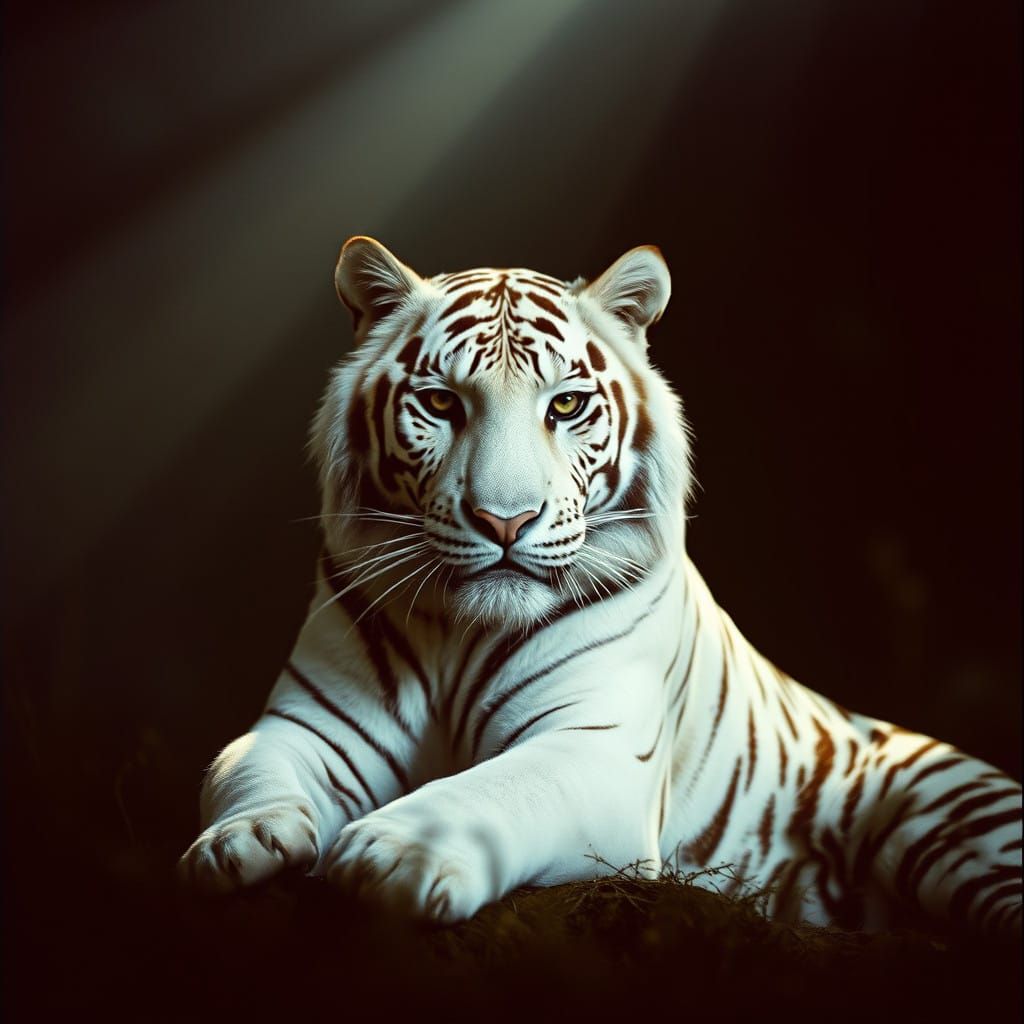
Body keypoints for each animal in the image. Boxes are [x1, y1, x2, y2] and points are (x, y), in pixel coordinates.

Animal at [180, 236, 1022, 935]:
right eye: (443, 403)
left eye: (567, 404)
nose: (505, 520)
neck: (461, 634)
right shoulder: (308, 723)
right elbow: (244, 769)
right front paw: (237, 843)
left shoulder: (597, 747)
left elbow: (492, 791)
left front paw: (394, 851)